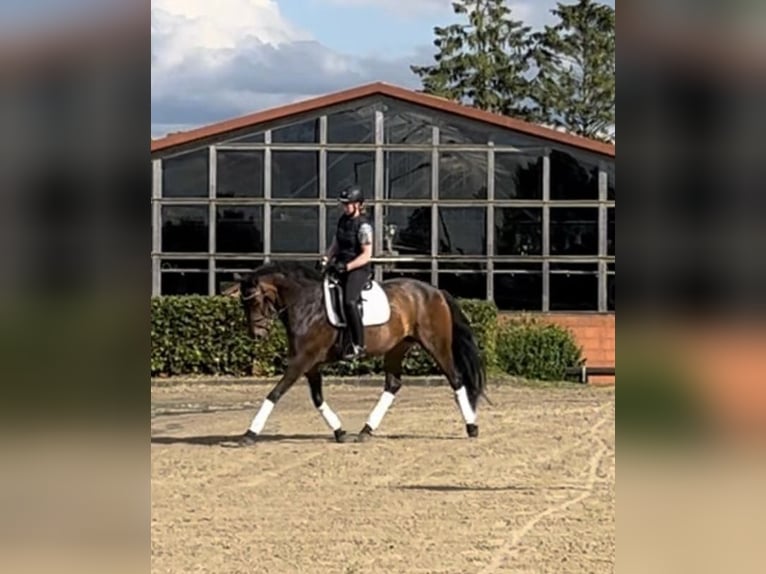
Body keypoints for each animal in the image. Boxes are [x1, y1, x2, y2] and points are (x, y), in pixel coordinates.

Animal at [234, 260, 488, 446]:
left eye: (254, 301)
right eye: (242, 304)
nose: (257, 335)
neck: (307, 305)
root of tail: (436, 291)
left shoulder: (302, 361)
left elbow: (275, 393)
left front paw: (249, 433)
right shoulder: (311, 364)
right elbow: (317, 399)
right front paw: (339, 431)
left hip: (436, 344)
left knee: (456, 379)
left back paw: (472, 427)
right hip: (397, 348)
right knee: (393, 384)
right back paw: (366, 430)